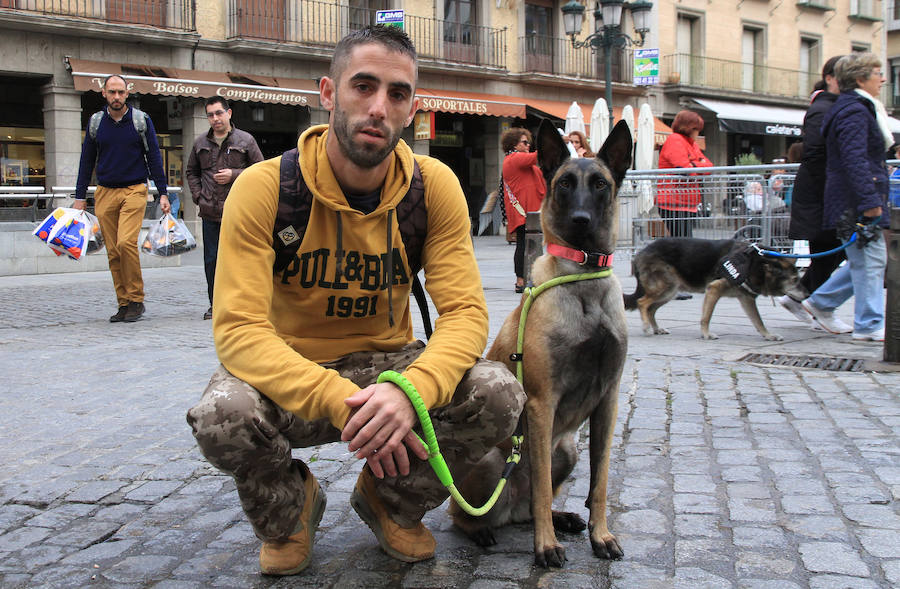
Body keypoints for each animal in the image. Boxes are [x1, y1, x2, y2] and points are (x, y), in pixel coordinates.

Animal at [450, 118, 632, 564]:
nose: (581, 219)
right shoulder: (541, 402)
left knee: (532, 505)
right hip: (496, 459)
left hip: (567, 448)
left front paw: (601, 536)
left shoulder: (608, 403)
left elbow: (599, 483)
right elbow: (544, 487)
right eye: (564, 183)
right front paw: (545, 547)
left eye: (600, 184)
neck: (584, 279)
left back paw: (558, 518)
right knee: (466, 513)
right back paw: (483, 530)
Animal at [624, 237, 800, 340]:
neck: (755, 262)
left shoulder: (746, 299)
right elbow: (706, 317)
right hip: (666, 287)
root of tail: (640, 252)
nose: (805, 294)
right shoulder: (714, 289)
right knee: (642, 303)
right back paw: (646, 327)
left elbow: (758, 321)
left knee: (651, 309)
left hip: (670, 291)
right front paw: (706, 334)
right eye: (795, 280)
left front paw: (768, 335)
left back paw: (656, 328)